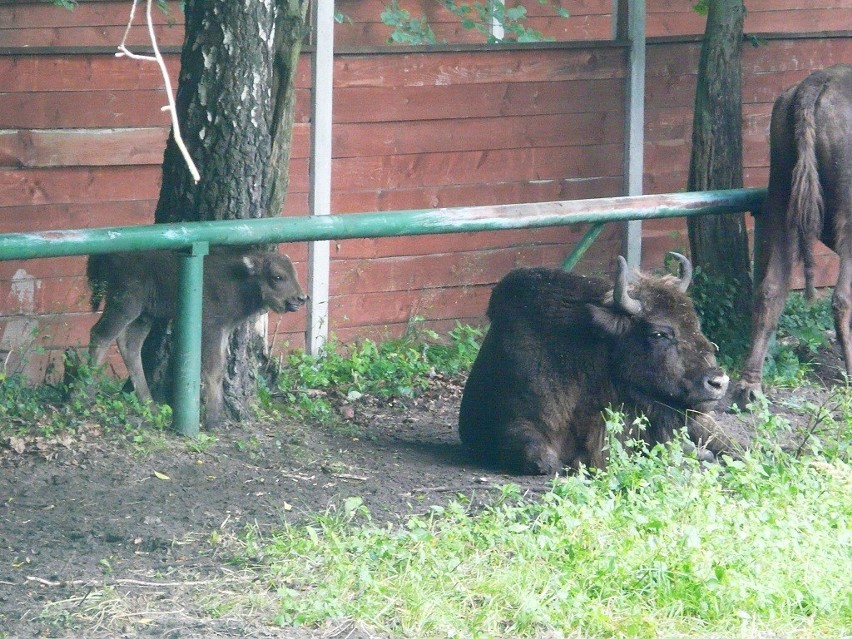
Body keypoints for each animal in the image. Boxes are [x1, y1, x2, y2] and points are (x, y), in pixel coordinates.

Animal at [86, 250, 304, 430]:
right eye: (278, 276)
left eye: (294, 273)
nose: (301, 298)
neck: (240, 279)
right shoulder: (211, 329)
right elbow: (213, 370)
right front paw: (213, 422)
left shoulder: (224, 331)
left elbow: (221, 368)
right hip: (125, 304)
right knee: (100, 335)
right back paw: (86, 393)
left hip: (144, 315)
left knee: (129, 345)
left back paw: (150, 406)